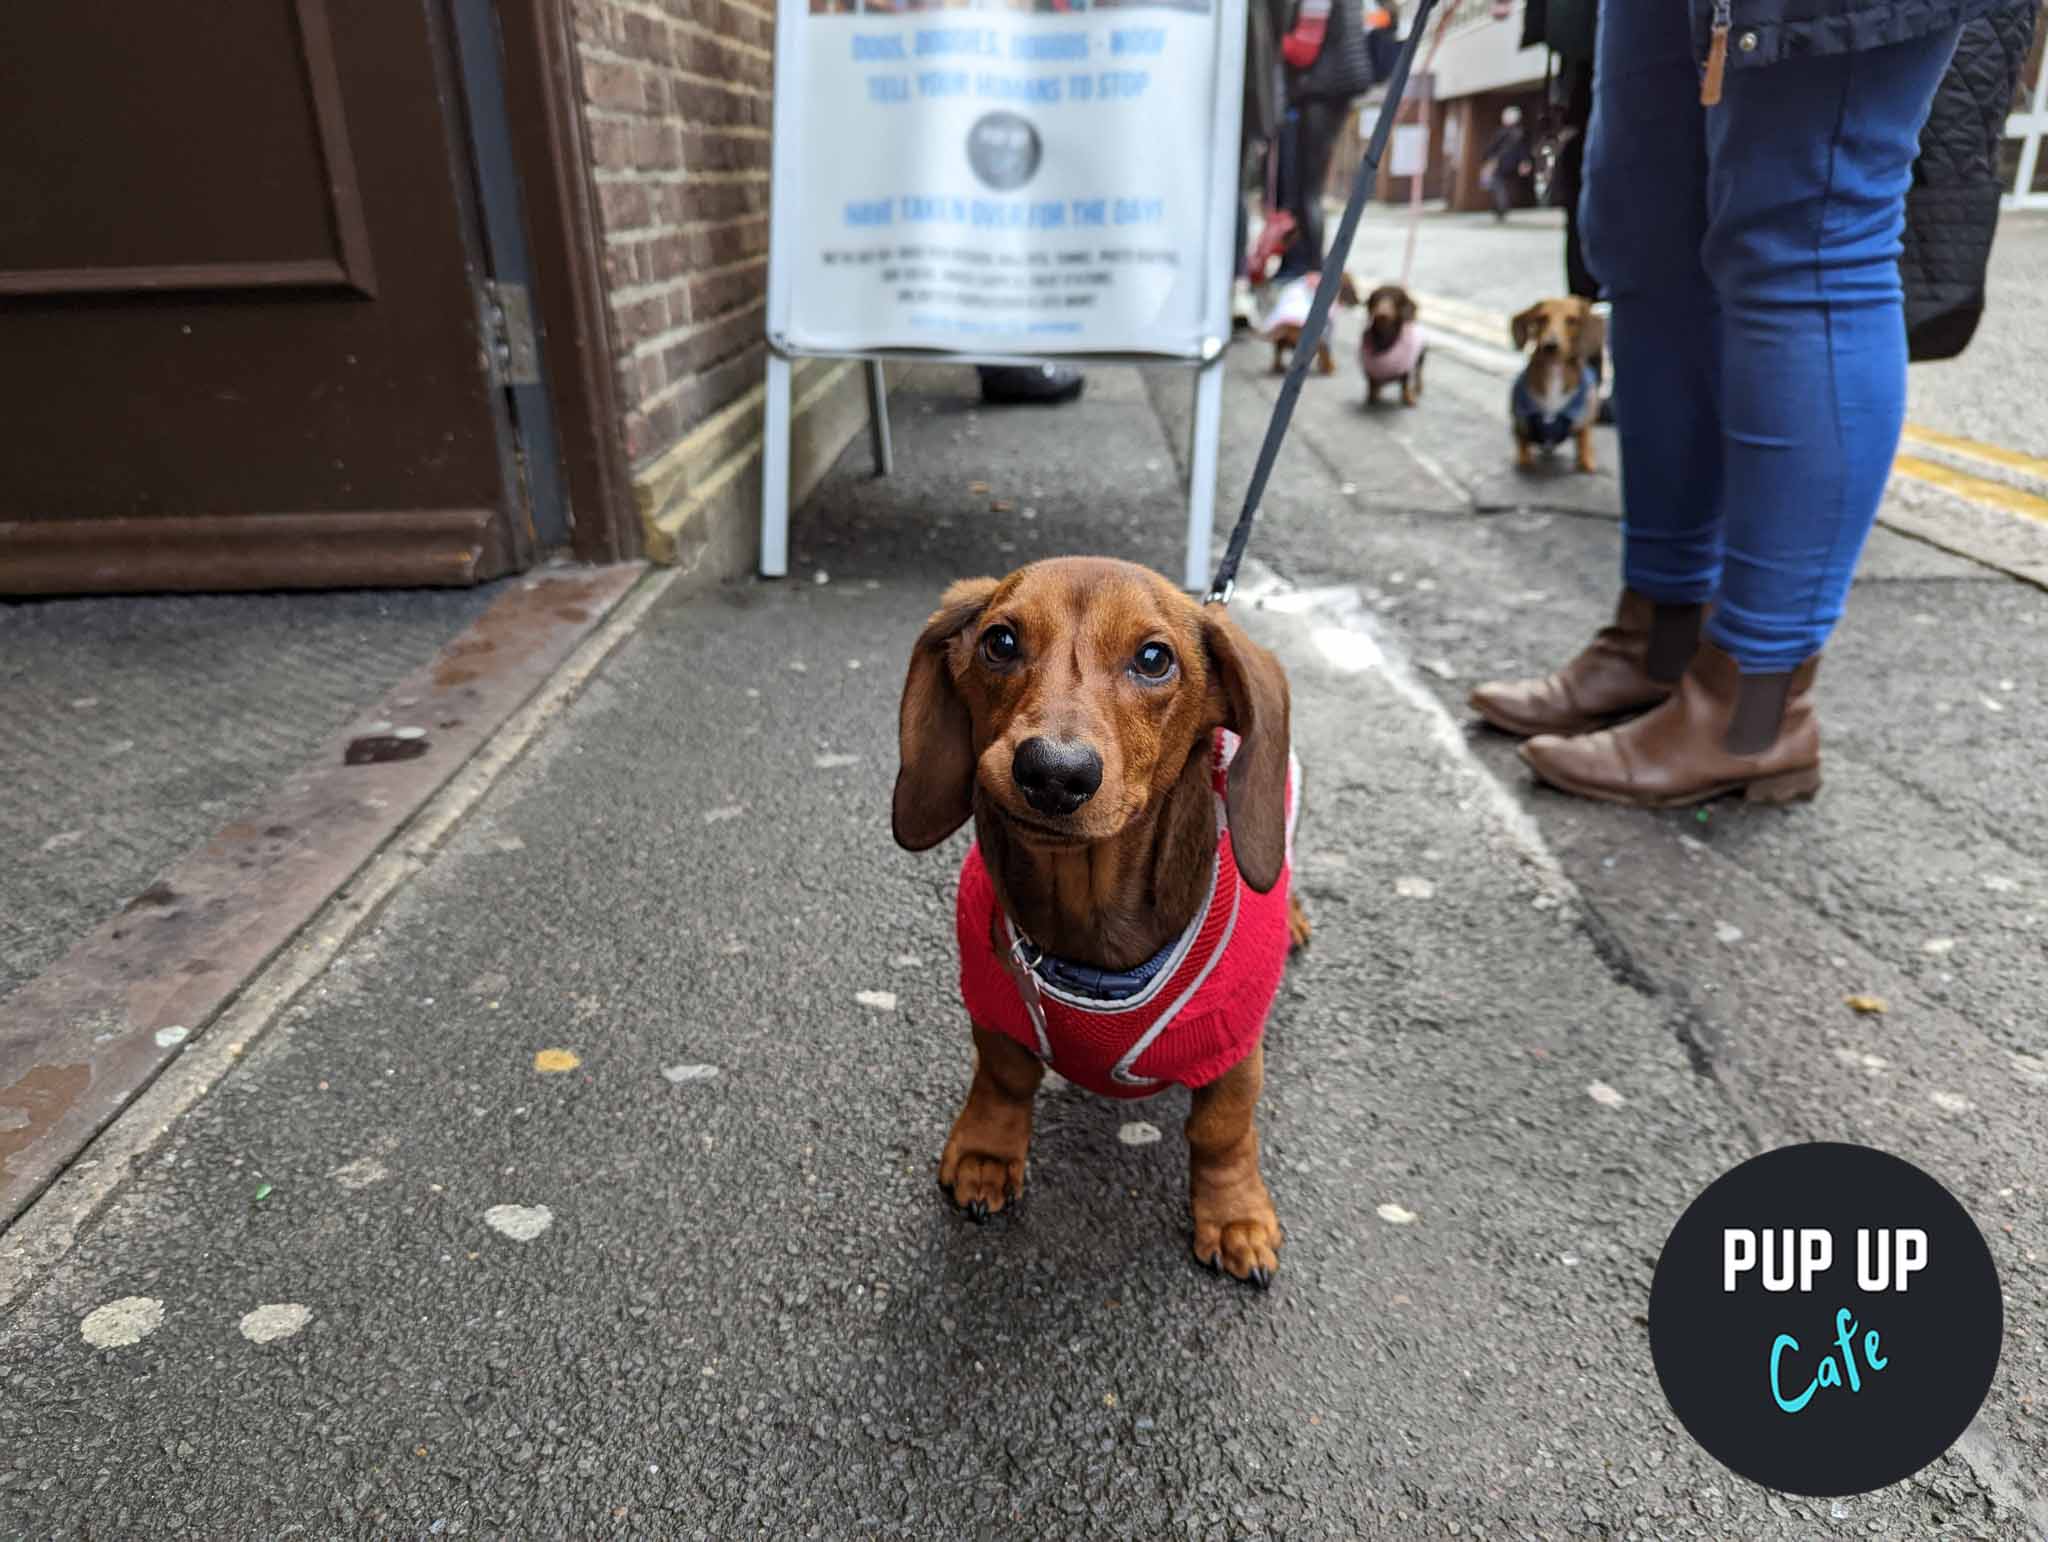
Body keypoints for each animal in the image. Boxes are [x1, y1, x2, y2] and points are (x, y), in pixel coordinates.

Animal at [888, 561, 1302, 1277]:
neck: (1090, 917)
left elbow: (1221, 1130)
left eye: (1155, 658)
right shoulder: (997, 1002)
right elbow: (1003, 1077)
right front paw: (987, 1155)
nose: (1054, 773)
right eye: (1000, 641)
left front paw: (1234, 1217)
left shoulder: (1231, 1044)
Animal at [1507, 296, 1597, 468]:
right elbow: (1522, 442)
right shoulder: (1521, 421)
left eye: (1572, 320)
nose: (1550, 346)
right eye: (1542, 318)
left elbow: (1584, 438)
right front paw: (1524, 461)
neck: (1554, 372)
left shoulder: (1582, 422)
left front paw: (1587, 461)